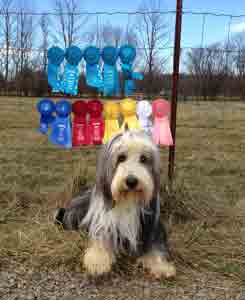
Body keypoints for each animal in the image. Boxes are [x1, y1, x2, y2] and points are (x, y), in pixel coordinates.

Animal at [54, 129, 176, 278]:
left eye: (143, 159)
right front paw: (98, 261)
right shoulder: (104, 224)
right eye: (121, 157)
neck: (128, 200)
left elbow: (155, 247)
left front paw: (161, 267)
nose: (131, 181)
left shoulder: (150, 226)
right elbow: (100, 241)